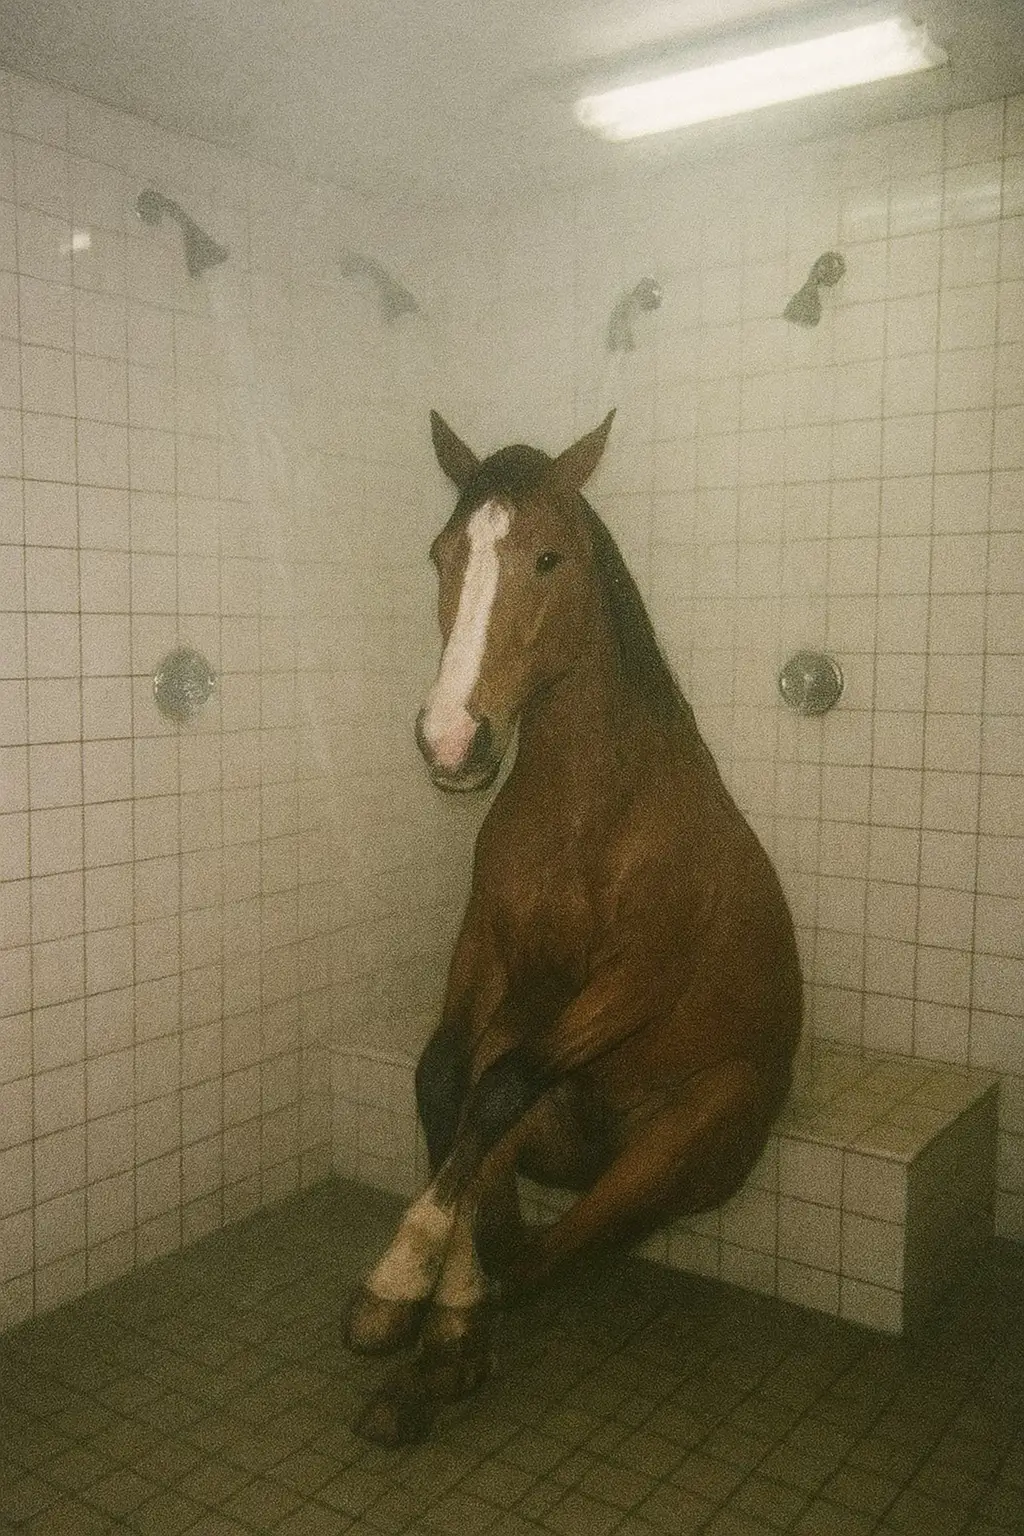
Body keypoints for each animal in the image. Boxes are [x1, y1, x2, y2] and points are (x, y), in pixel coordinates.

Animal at [344, 409, 802, 1444]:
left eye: (549, 558)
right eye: (441, 553)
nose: (450, 740)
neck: (591, 806)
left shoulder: (637, 981)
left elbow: (498, 1087)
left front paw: (403, 1281)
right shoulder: (490, 946)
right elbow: (446, 1080)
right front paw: (421, 1281)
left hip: (673, 1149)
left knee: (543, 1258)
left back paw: (444, 1354)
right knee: (504, 1195)